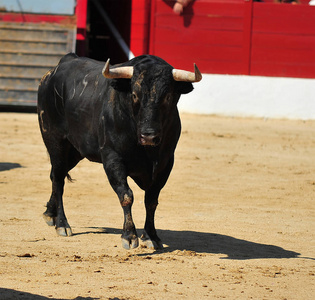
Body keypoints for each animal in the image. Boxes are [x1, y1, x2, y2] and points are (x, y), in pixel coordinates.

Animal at [37, 53, 202, 248]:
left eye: (168, 96)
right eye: (134, 95)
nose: (149, 136)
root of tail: (53, 72)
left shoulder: (166, 163)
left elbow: (151, 200)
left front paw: (151, 236)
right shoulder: (112, 158)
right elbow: (126, 195)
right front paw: (129, 236)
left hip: (75, 152)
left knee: (55, 175)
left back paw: (50, 214)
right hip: (56, 142)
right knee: (58, 179)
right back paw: (62, 224)